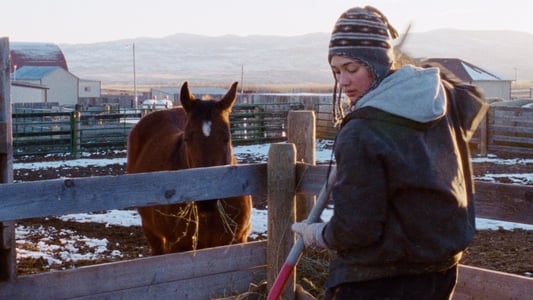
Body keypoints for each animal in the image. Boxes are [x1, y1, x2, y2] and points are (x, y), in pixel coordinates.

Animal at [129, 81, 254, 254]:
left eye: (226, 138)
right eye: (187, 139)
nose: (207, 201)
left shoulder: (236, 241)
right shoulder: (179, 247)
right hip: (151, 230)